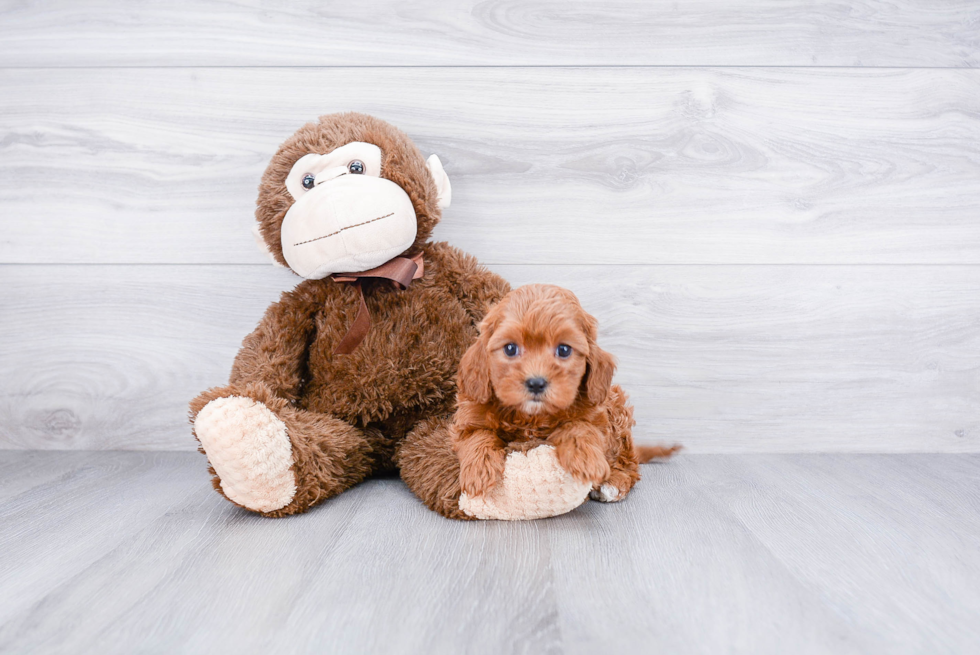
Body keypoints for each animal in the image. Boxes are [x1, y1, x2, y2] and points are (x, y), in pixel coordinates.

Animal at [452, 284, 680, 504]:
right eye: (510, 348)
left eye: (563, 350)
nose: (536, 383)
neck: (532, 416)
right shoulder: (470, 416)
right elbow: (478, 436)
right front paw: (479, 470)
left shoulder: (597, 413)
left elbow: (580, 426)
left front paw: (585, 458)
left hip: (617, 408)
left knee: (629, 462)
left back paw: (614, 483)